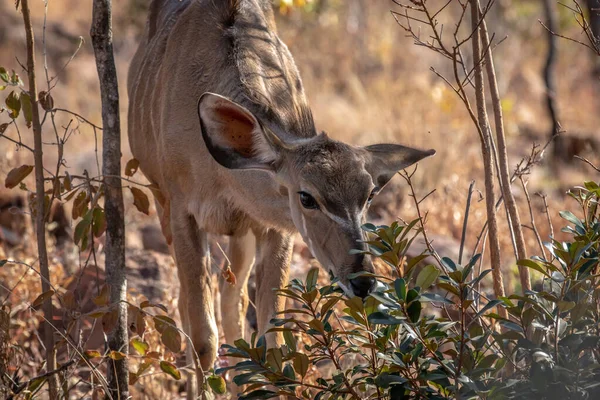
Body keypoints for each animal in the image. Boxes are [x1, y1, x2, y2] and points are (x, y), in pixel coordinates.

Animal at [129, 0, 434, 394]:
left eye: (369, 195)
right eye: (306, 197)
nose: (363, 281)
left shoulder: (273, 227)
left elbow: (273, 339)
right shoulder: (182, 209)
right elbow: (202, 334)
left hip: (241, 233)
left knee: (233, 299)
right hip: (162, 201)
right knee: (192, 304)